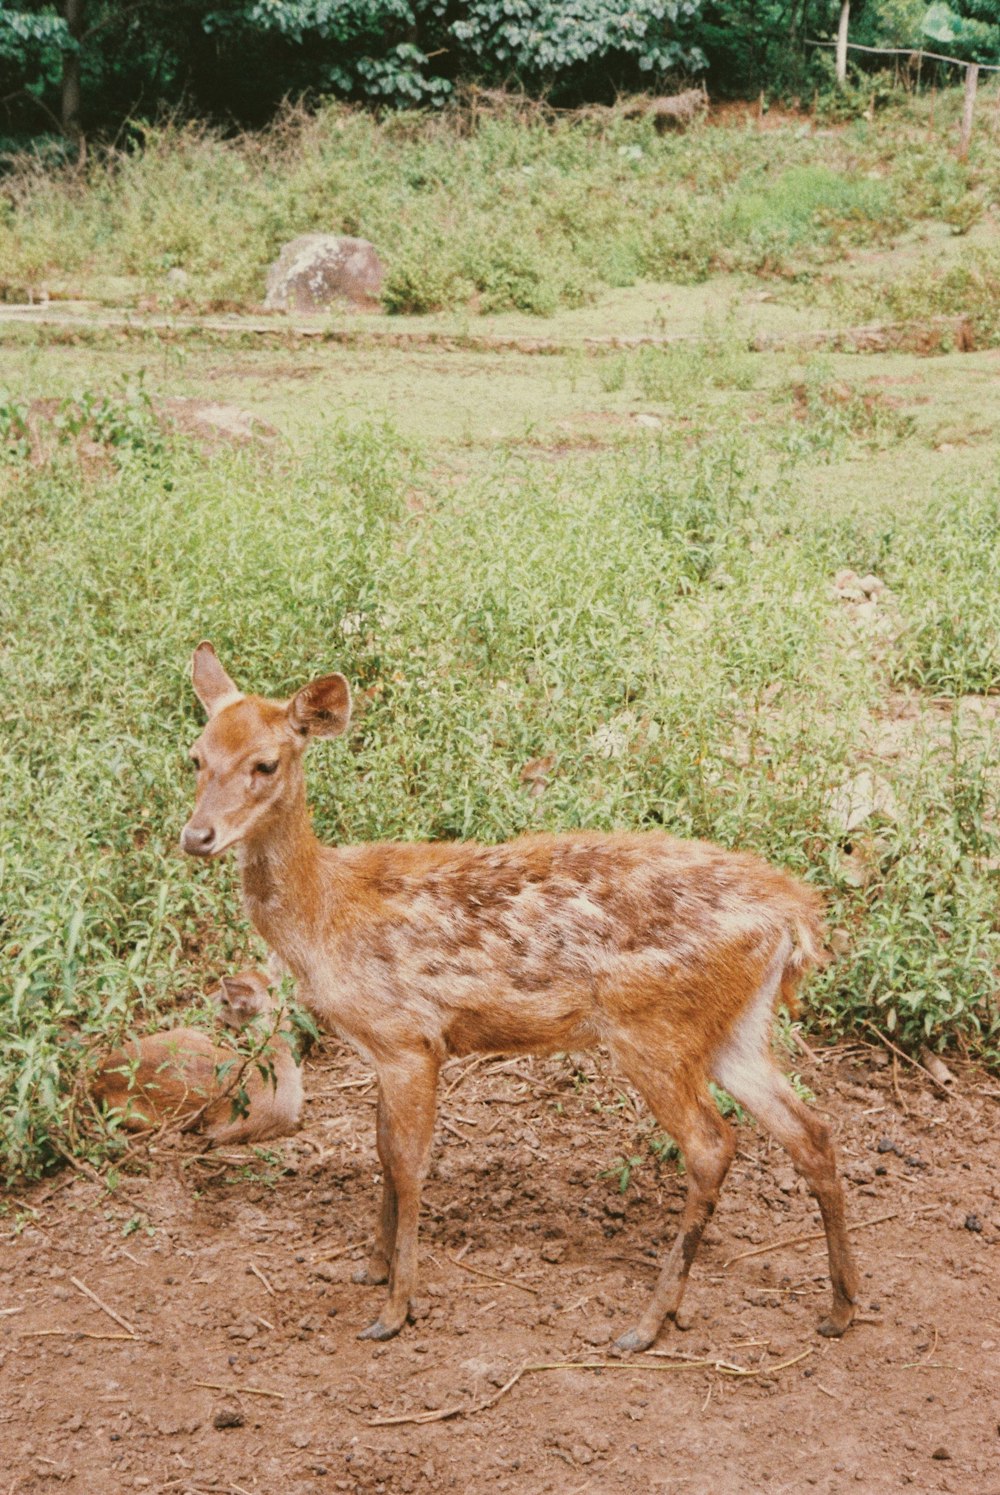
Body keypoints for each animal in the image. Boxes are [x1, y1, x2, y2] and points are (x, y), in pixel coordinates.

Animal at [181, 639, 860, 1345]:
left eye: (265, 763)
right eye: (195, 756)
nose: (196, 837)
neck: (327, 914)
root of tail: (794, 915)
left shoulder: (409, 1038)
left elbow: (407, 1163)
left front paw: (394, 1309)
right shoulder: (385, 1047)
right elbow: (382, 1151)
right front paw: (369, 1268)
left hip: (653, 1028)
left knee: (712, 1146)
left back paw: (648, 1322)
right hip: (736, 1028)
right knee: (812, 1131)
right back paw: (839, 1307)